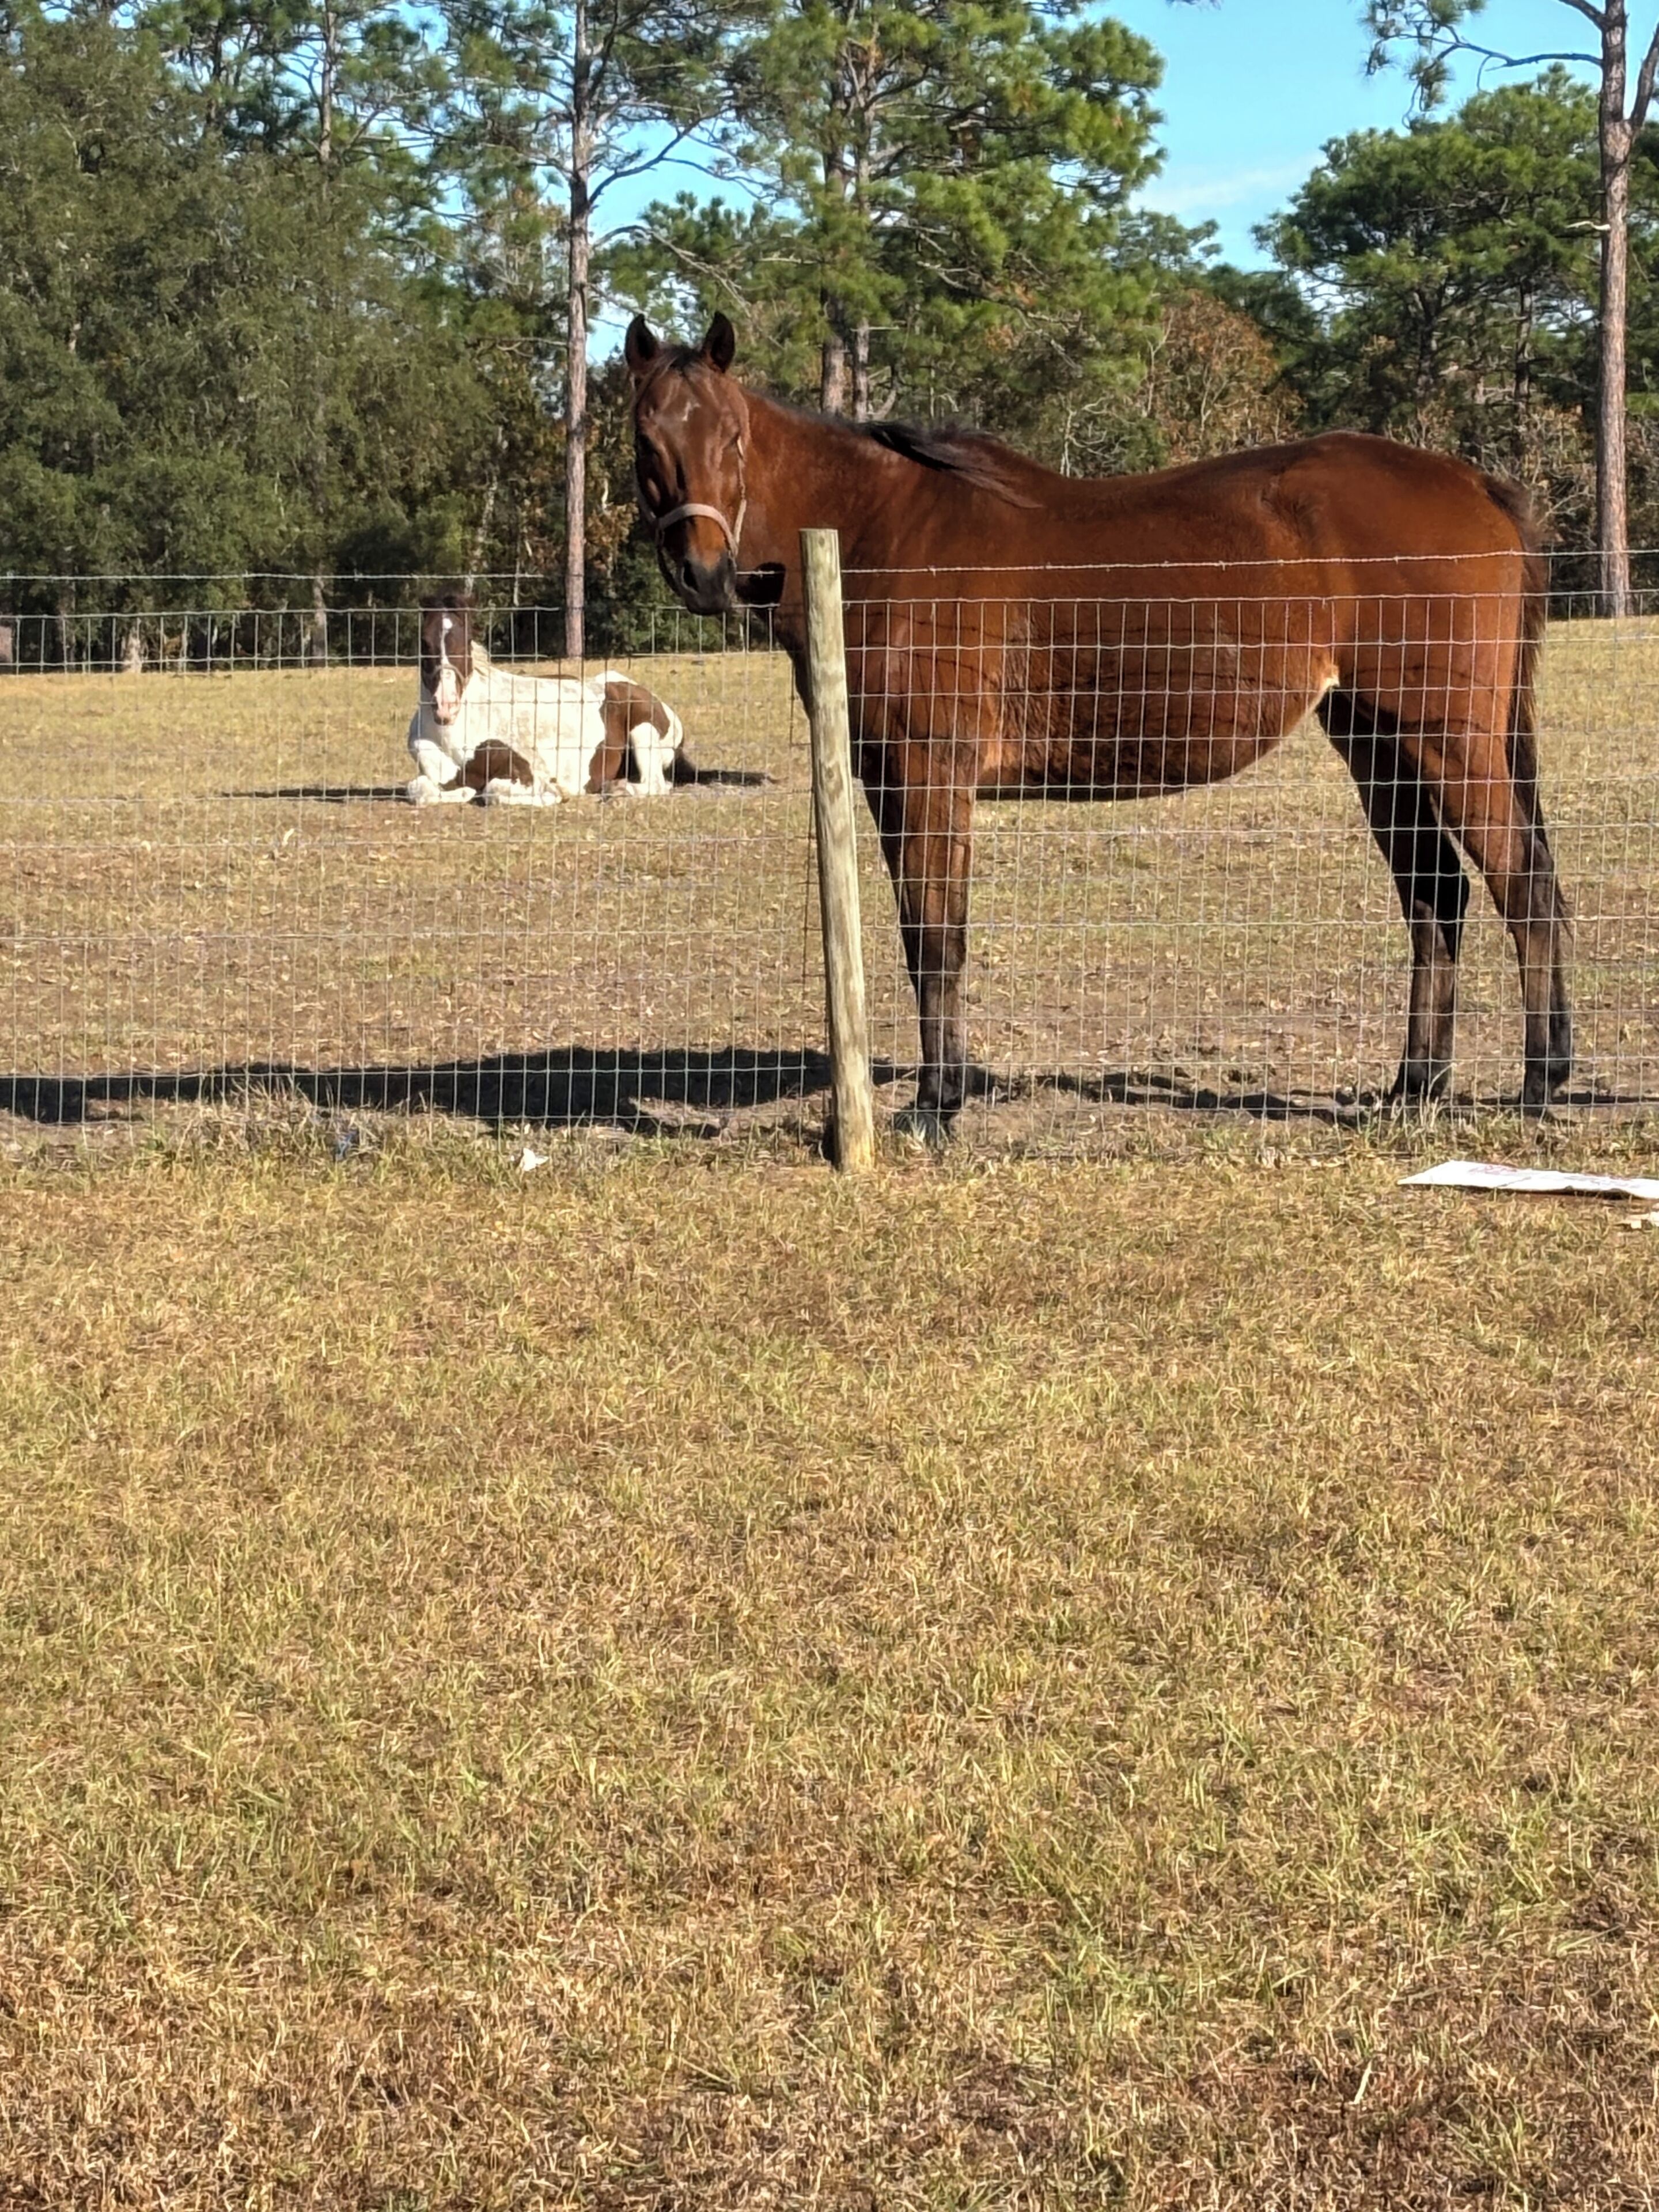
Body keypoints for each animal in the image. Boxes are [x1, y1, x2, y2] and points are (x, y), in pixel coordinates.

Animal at [625, 312, 1572, 1137]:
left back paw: (1540, 1083)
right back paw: (1416, 1088)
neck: (877, 533)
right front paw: (945, 1093)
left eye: (733, 438)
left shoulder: (929, 777)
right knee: (1437, 904)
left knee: (1523, 889)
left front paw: (935, 1106)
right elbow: (930, 936)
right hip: (1379, 746)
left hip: (1449, 746)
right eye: (646, 441)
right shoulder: (898, 785)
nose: (704, 573)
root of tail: (1473, 482)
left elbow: (936, 938)